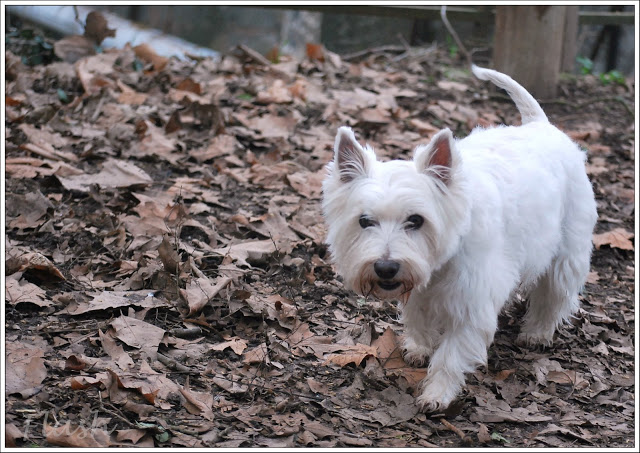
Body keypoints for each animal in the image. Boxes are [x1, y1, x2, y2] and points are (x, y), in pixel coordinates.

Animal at [322, 65, 596, 412]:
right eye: (364, 221)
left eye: (416, 220)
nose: (385, 268)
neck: (443, 260)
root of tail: (541, 125)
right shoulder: (420, 287)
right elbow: (418, 317)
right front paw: (419, 347)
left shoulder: (472, 301)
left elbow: (451, 356)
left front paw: (437, 394)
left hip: (568, 249)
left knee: (556, 293)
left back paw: (537, 332)